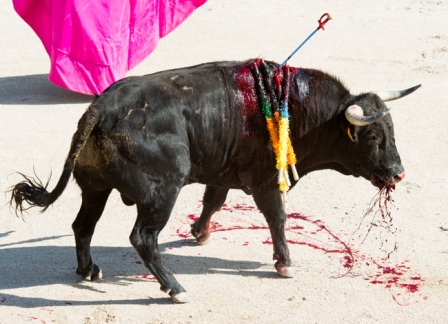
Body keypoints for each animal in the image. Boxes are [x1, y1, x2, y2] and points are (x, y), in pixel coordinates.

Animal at [8, 60, 418, 304]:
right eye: (373, 137)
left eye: (392, 130)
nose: (398, 173)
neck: (300, 111)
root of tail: (101, 107)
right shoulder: (266, 180)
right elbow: (278, 218)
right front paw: (284, 263)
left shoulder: (222, 173)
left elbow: (213, 201)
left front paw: (199, 233)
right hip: (162, 192)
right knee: (142, 237)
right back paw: (175, 289)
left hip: (95, 187)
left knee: (83, 225)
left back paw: (89, 270)